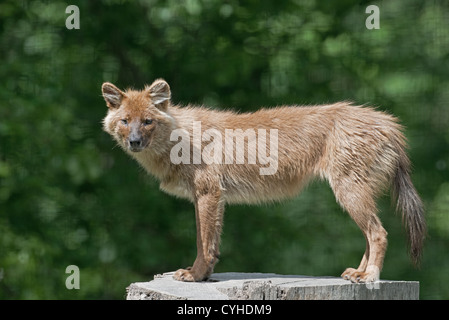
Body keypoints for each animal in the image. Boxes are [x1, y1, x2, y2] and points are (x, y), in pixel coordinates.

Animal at [100, 79, 426, 282]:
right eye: (125, 121)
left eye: (147, 121)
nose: (134, 142)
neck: (180, 137)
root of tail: (390, 124)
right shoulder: (208, 197)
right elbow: (209, 241)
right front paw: (202, 275)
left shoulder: (209, 193)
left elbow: (204, 243)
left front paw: (195, 275)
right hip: (353, 192)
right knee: (371, 235)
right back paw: (357, 273)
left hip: (349, 191)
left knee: (378, 233)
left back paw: (369, 276)